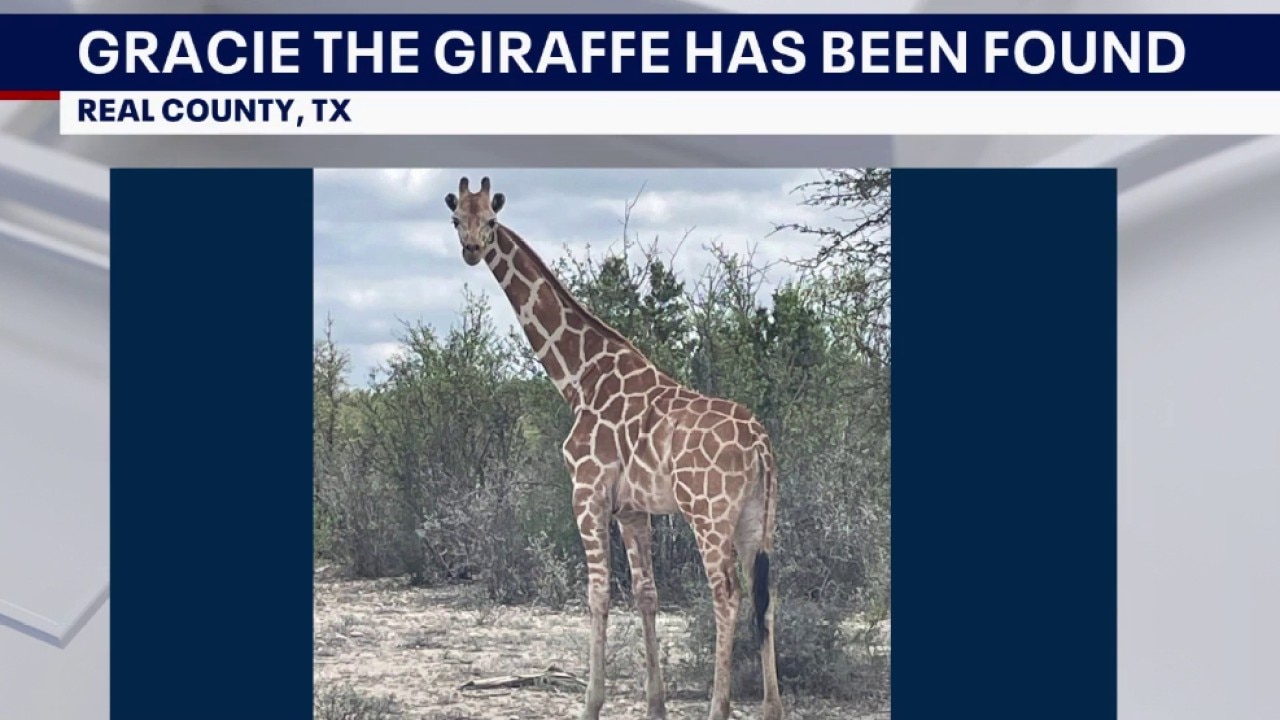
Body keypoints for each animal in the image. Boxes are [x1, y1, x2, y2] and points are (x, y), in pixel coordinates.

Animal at [445, 176, 783, 720]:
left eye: (491, 222)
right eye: (458, 219)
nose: (472, 250)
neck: (579, 378)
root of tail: (760, 444)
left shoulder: (587, 492)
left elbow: (598, 594)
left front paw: (591, 703)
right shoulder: (632, 508)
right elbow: (646, 594)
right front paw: (655, 705)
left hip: (708, 513)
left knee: (727, 596)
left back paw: (719, 707)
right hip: (758, 516)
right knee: (763, 596)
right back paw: (772, 708)